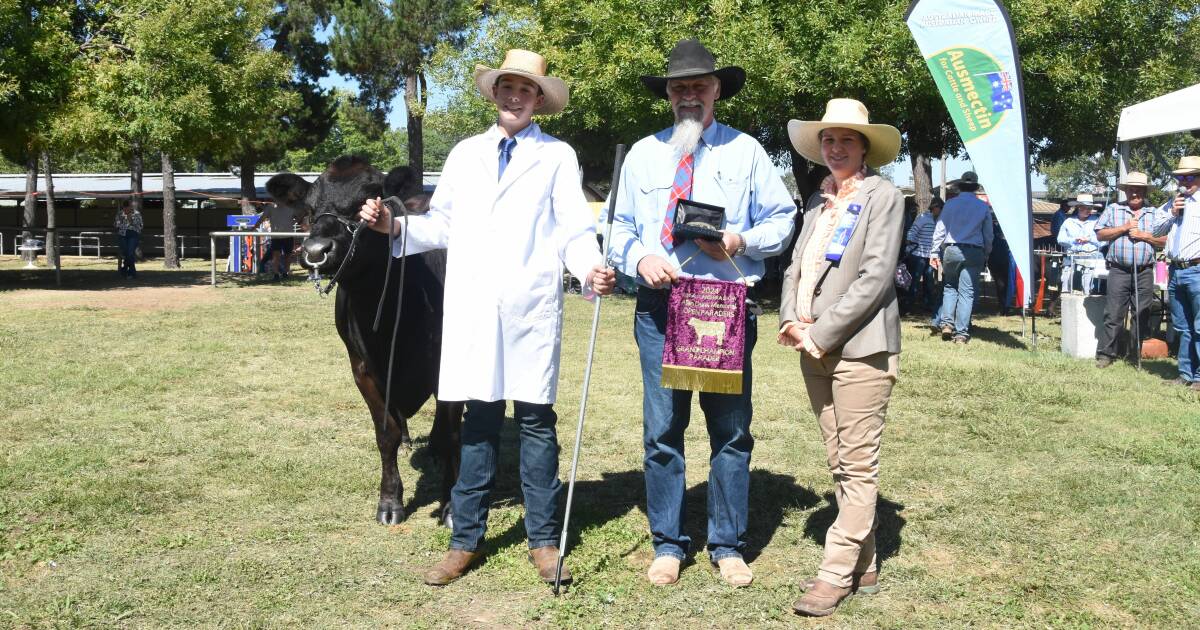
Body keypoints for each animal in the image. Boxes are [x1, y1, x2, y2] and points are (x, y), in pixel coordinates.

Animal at [270, 156, 460, 525]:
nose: (316, 252)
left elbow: (450, 435)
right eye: (309, 209)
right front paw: (389, 502)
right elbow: (385, 434)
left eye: (365, 203)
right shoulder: (361, 367)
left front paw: (452, 506)